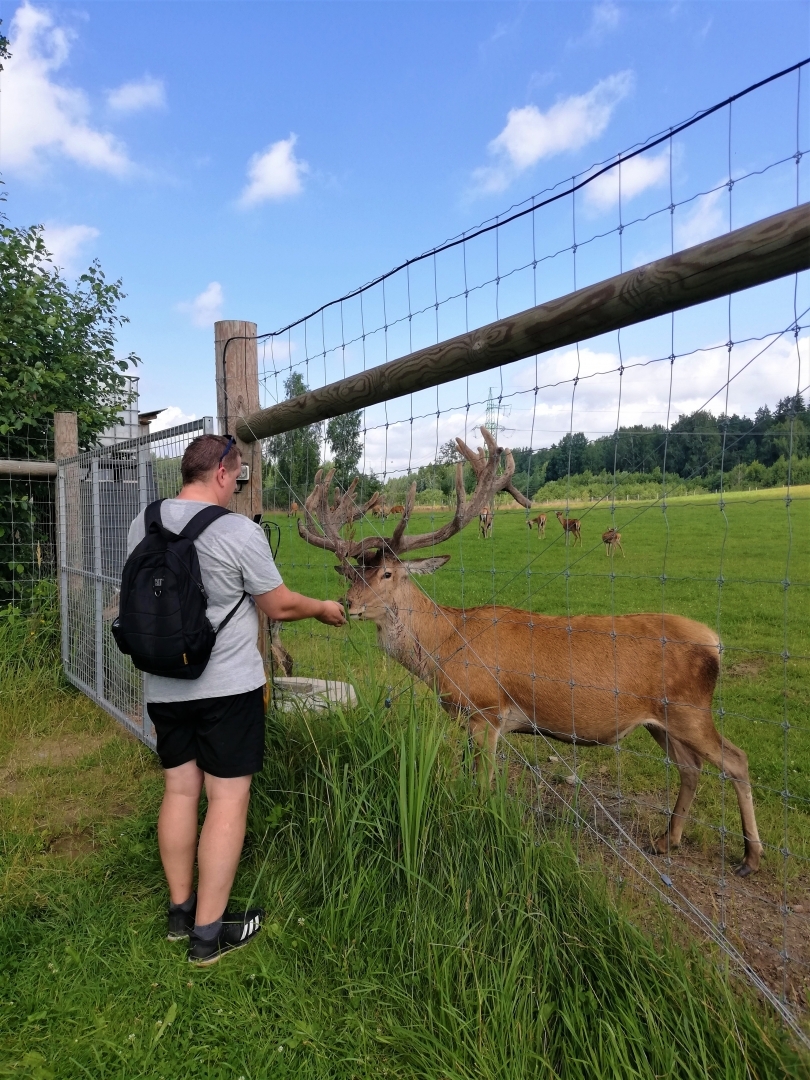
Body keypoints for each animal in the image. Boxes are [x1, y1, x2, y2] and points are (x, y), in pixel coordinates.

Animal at [295, 423, 760, 876]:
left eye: (388, 574)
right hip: (660, 720)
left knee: (736, 759)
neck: (444, 646)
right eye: (353, 573)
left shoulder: (486, 710)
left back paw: (749, 857)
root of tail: (714, 641)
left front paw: (480, 824)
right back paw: (668, 840)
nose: (347, 604)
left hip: (689, 707)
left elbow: (482, 786)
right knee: (690, 768)